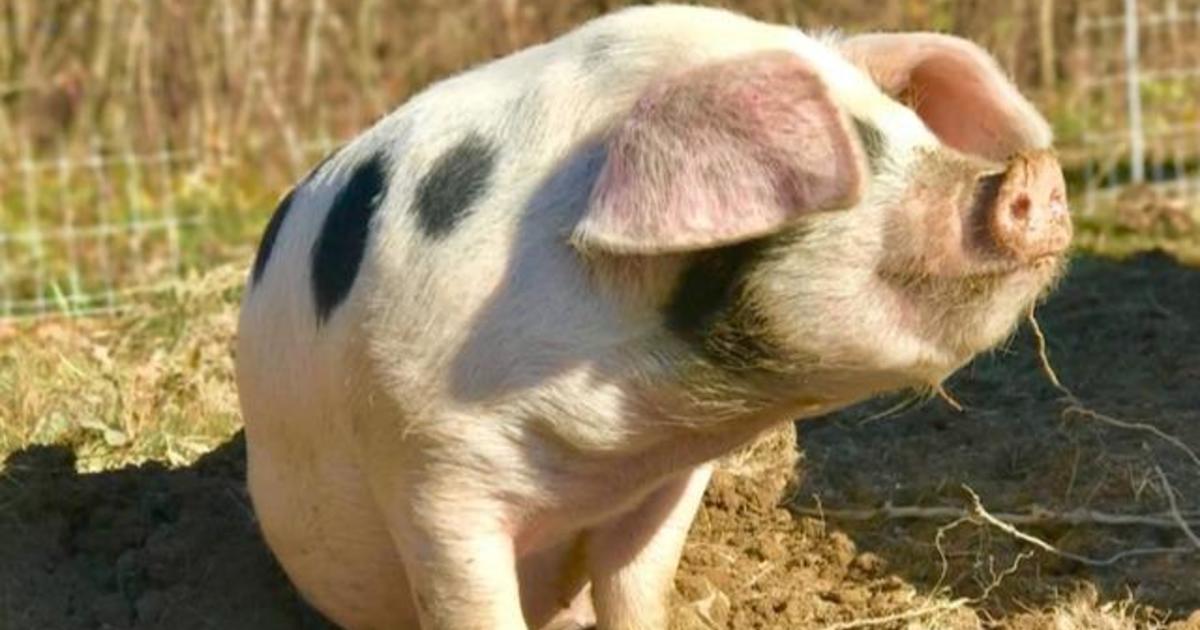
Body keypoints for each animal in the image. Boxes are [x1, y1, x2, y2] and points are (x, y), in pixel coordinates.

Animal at [231, 4, 1070, 628]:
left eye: (911, 124)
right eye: (855, 146)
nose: (1039, 174)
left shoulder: (667, 483)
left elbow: (638, 586)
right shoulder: (432, 469)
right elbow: (472, 605)